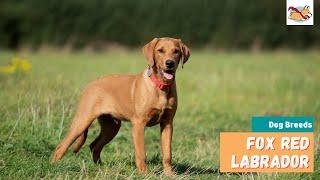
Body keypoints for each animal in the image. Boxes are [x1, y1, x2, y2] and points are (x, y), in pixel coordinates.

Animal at [50, 37, 190, 175]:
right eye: (160, 50)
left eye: (176, 51)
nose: (170, 63)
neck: (160, 86)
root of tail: (91, 84)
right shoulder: (139, 124)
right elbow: (141, 154)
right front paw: (144, 174)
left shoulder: (167, 123)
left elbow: (167, 153)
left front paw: (170, 174)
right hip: (82, 121)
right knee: (61, 146)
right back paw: (54, 167)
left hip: (111, 127)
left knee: (94, 145)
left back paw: (100, 168)